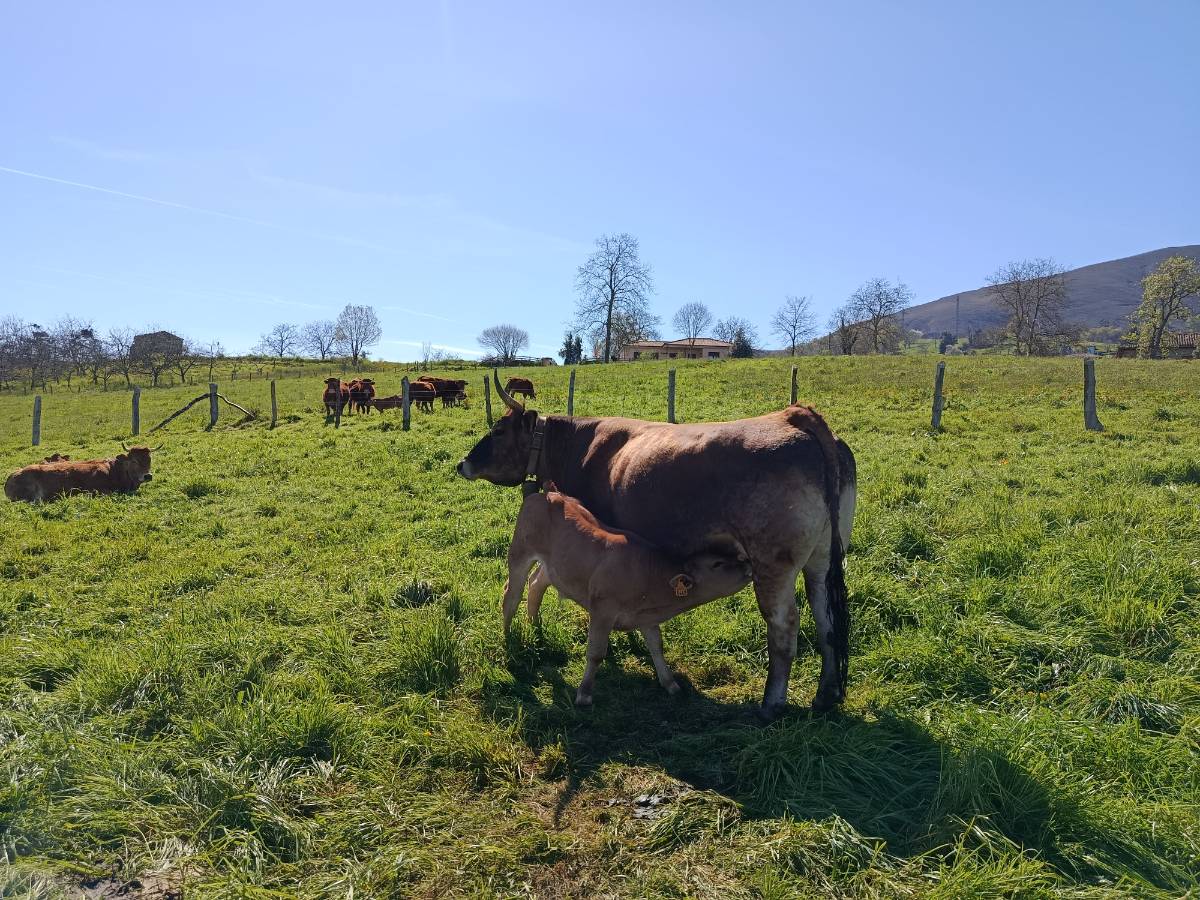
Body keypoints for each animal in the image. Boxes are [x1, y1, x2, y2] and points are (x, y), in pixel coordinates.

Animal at [504, 484, 750, 706]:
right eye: (717, 563)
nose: (747, 563)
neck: (650, 576)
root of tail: (550, 493)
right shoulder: (602, 610)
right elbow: (596, 653)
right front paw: (584, 694)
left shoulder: (645, 617)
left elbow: (657, 646)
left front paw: (670, 683)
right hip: (520, 552)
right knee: (511, 596)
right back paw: (508, 636)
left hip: (555, 567)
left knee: (536, 584)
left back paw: (534, 624)